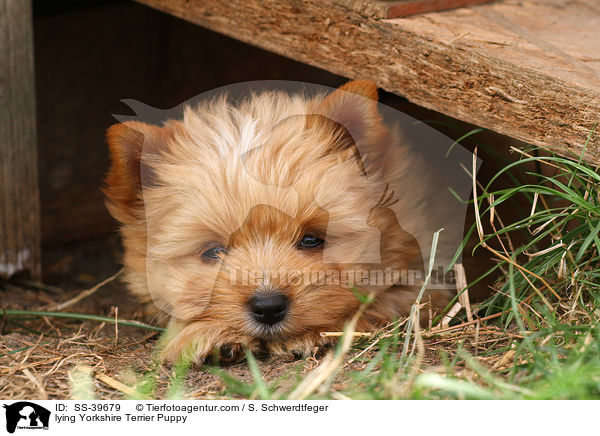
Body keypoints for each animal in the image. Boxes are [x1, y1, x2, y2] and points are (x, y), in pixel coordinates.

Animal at [103, 80, 450, 362]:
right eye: (213, 251)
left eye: (312, 239)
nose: (268, 306)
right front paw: (208, 334)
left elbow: (385, 302)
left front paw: (312, 334)